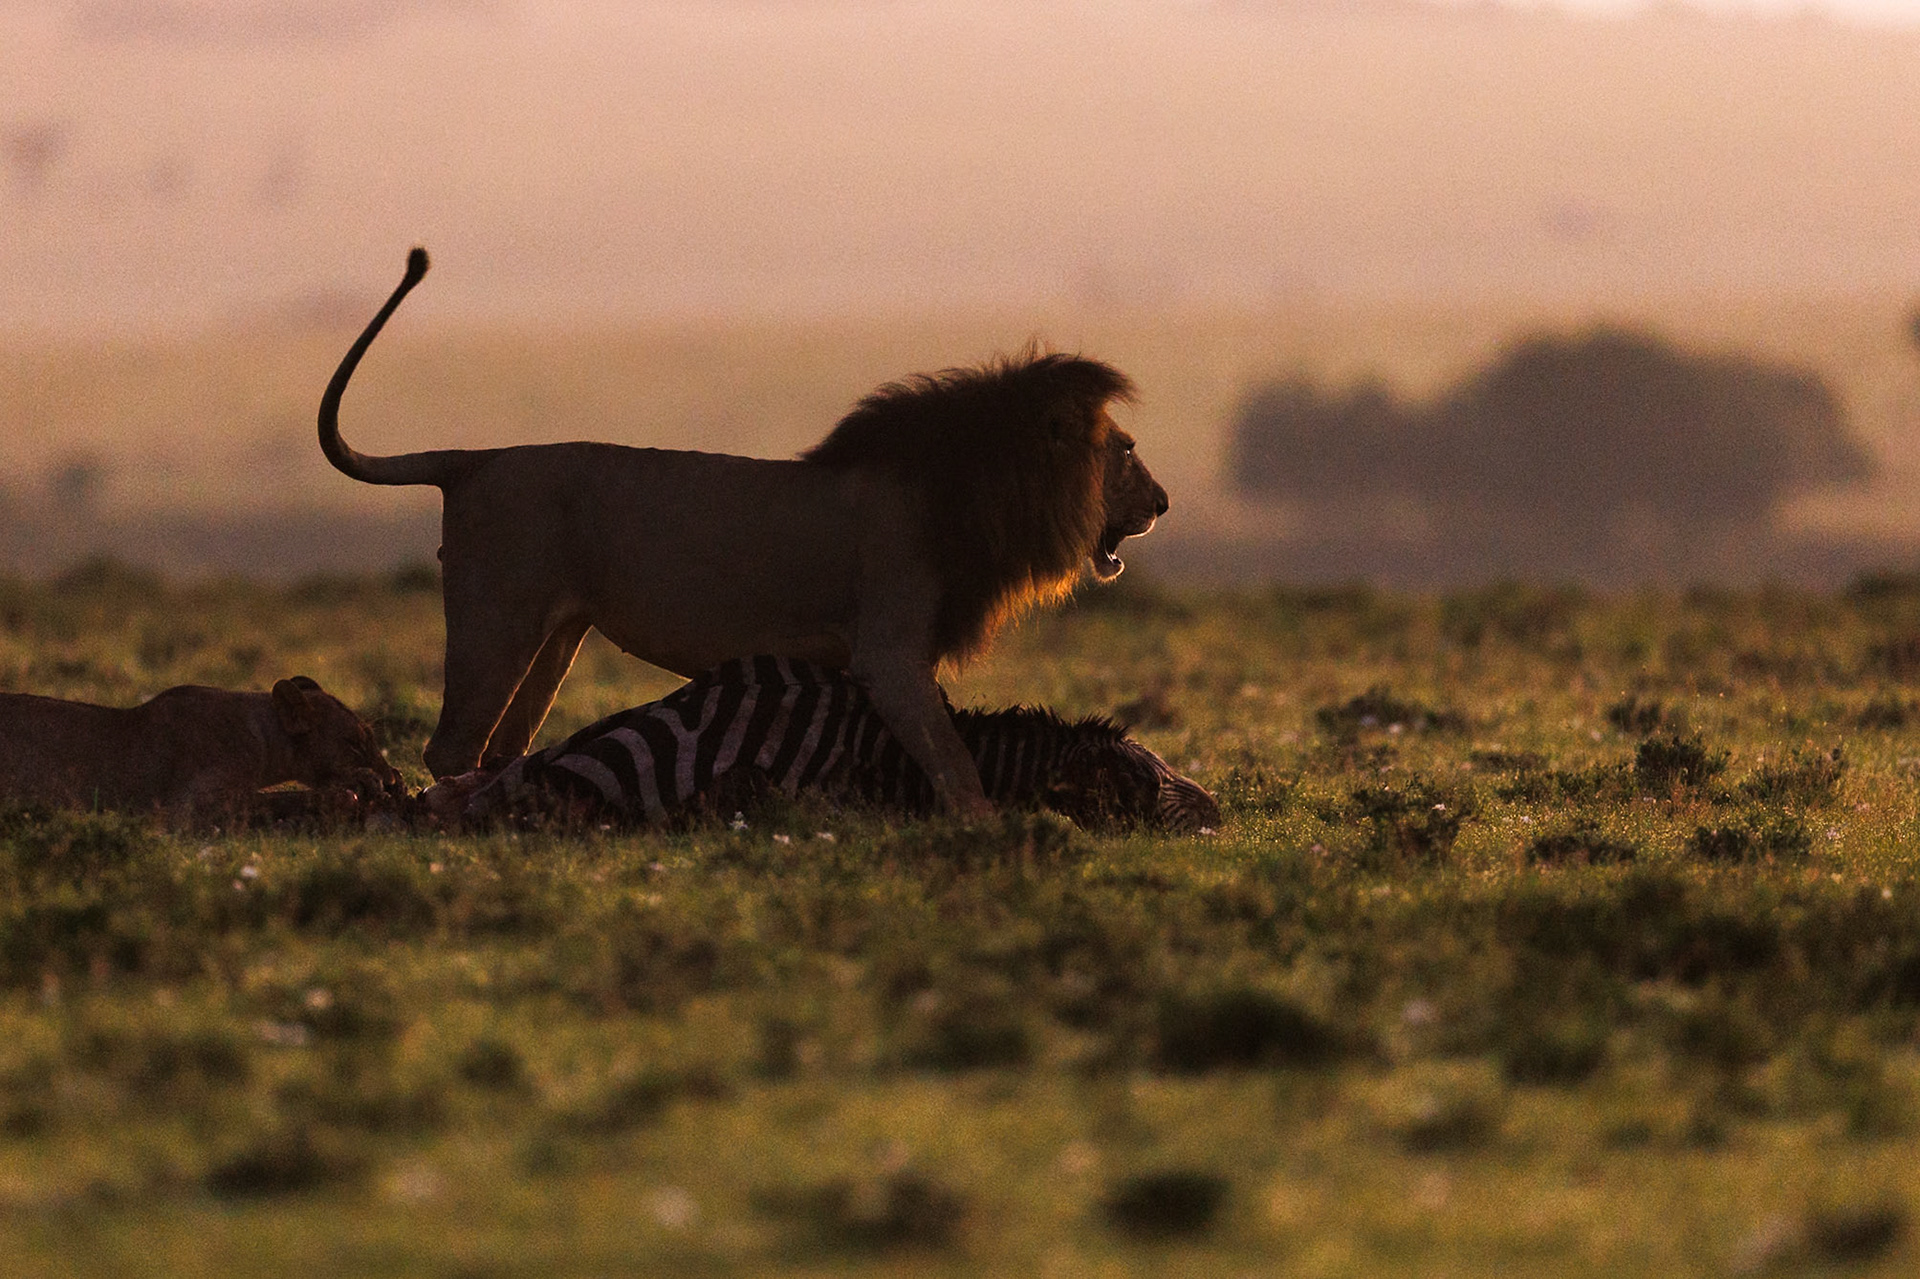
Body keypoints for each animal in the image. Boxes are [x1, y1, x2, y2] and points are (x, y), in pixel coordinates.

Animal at [319, 249, 1167, 816]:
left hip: (557, 635)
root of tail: (477, 459)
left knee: (506, 745)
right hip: (496, 620)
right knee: (451, 747)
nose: (1162, 503)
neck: (975, 491)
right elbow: (956, 768)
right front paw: (986, 831)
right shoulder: (889, 653)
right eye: (1125, 451)